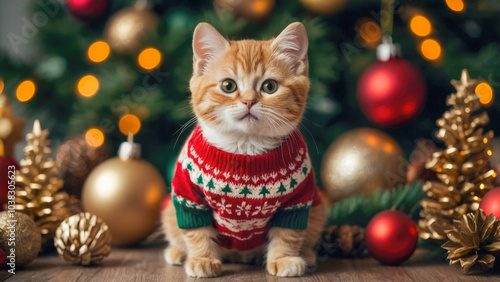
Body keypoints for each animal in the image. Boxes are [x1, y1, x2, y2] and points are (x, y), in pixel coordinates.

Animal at [162, 22, 326, 278]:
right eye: (228, 86)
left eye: (270, 86)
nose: (249, 101)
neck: (246, 146)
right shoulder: (188, 196)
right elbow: (196, 231)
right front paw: (202, 259)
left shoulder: (298, 201)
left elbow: (288, 233)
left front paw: (284, 259)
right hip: (169, 209)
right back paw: (178, 252)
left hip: (319, 208)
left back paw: (307, 255)